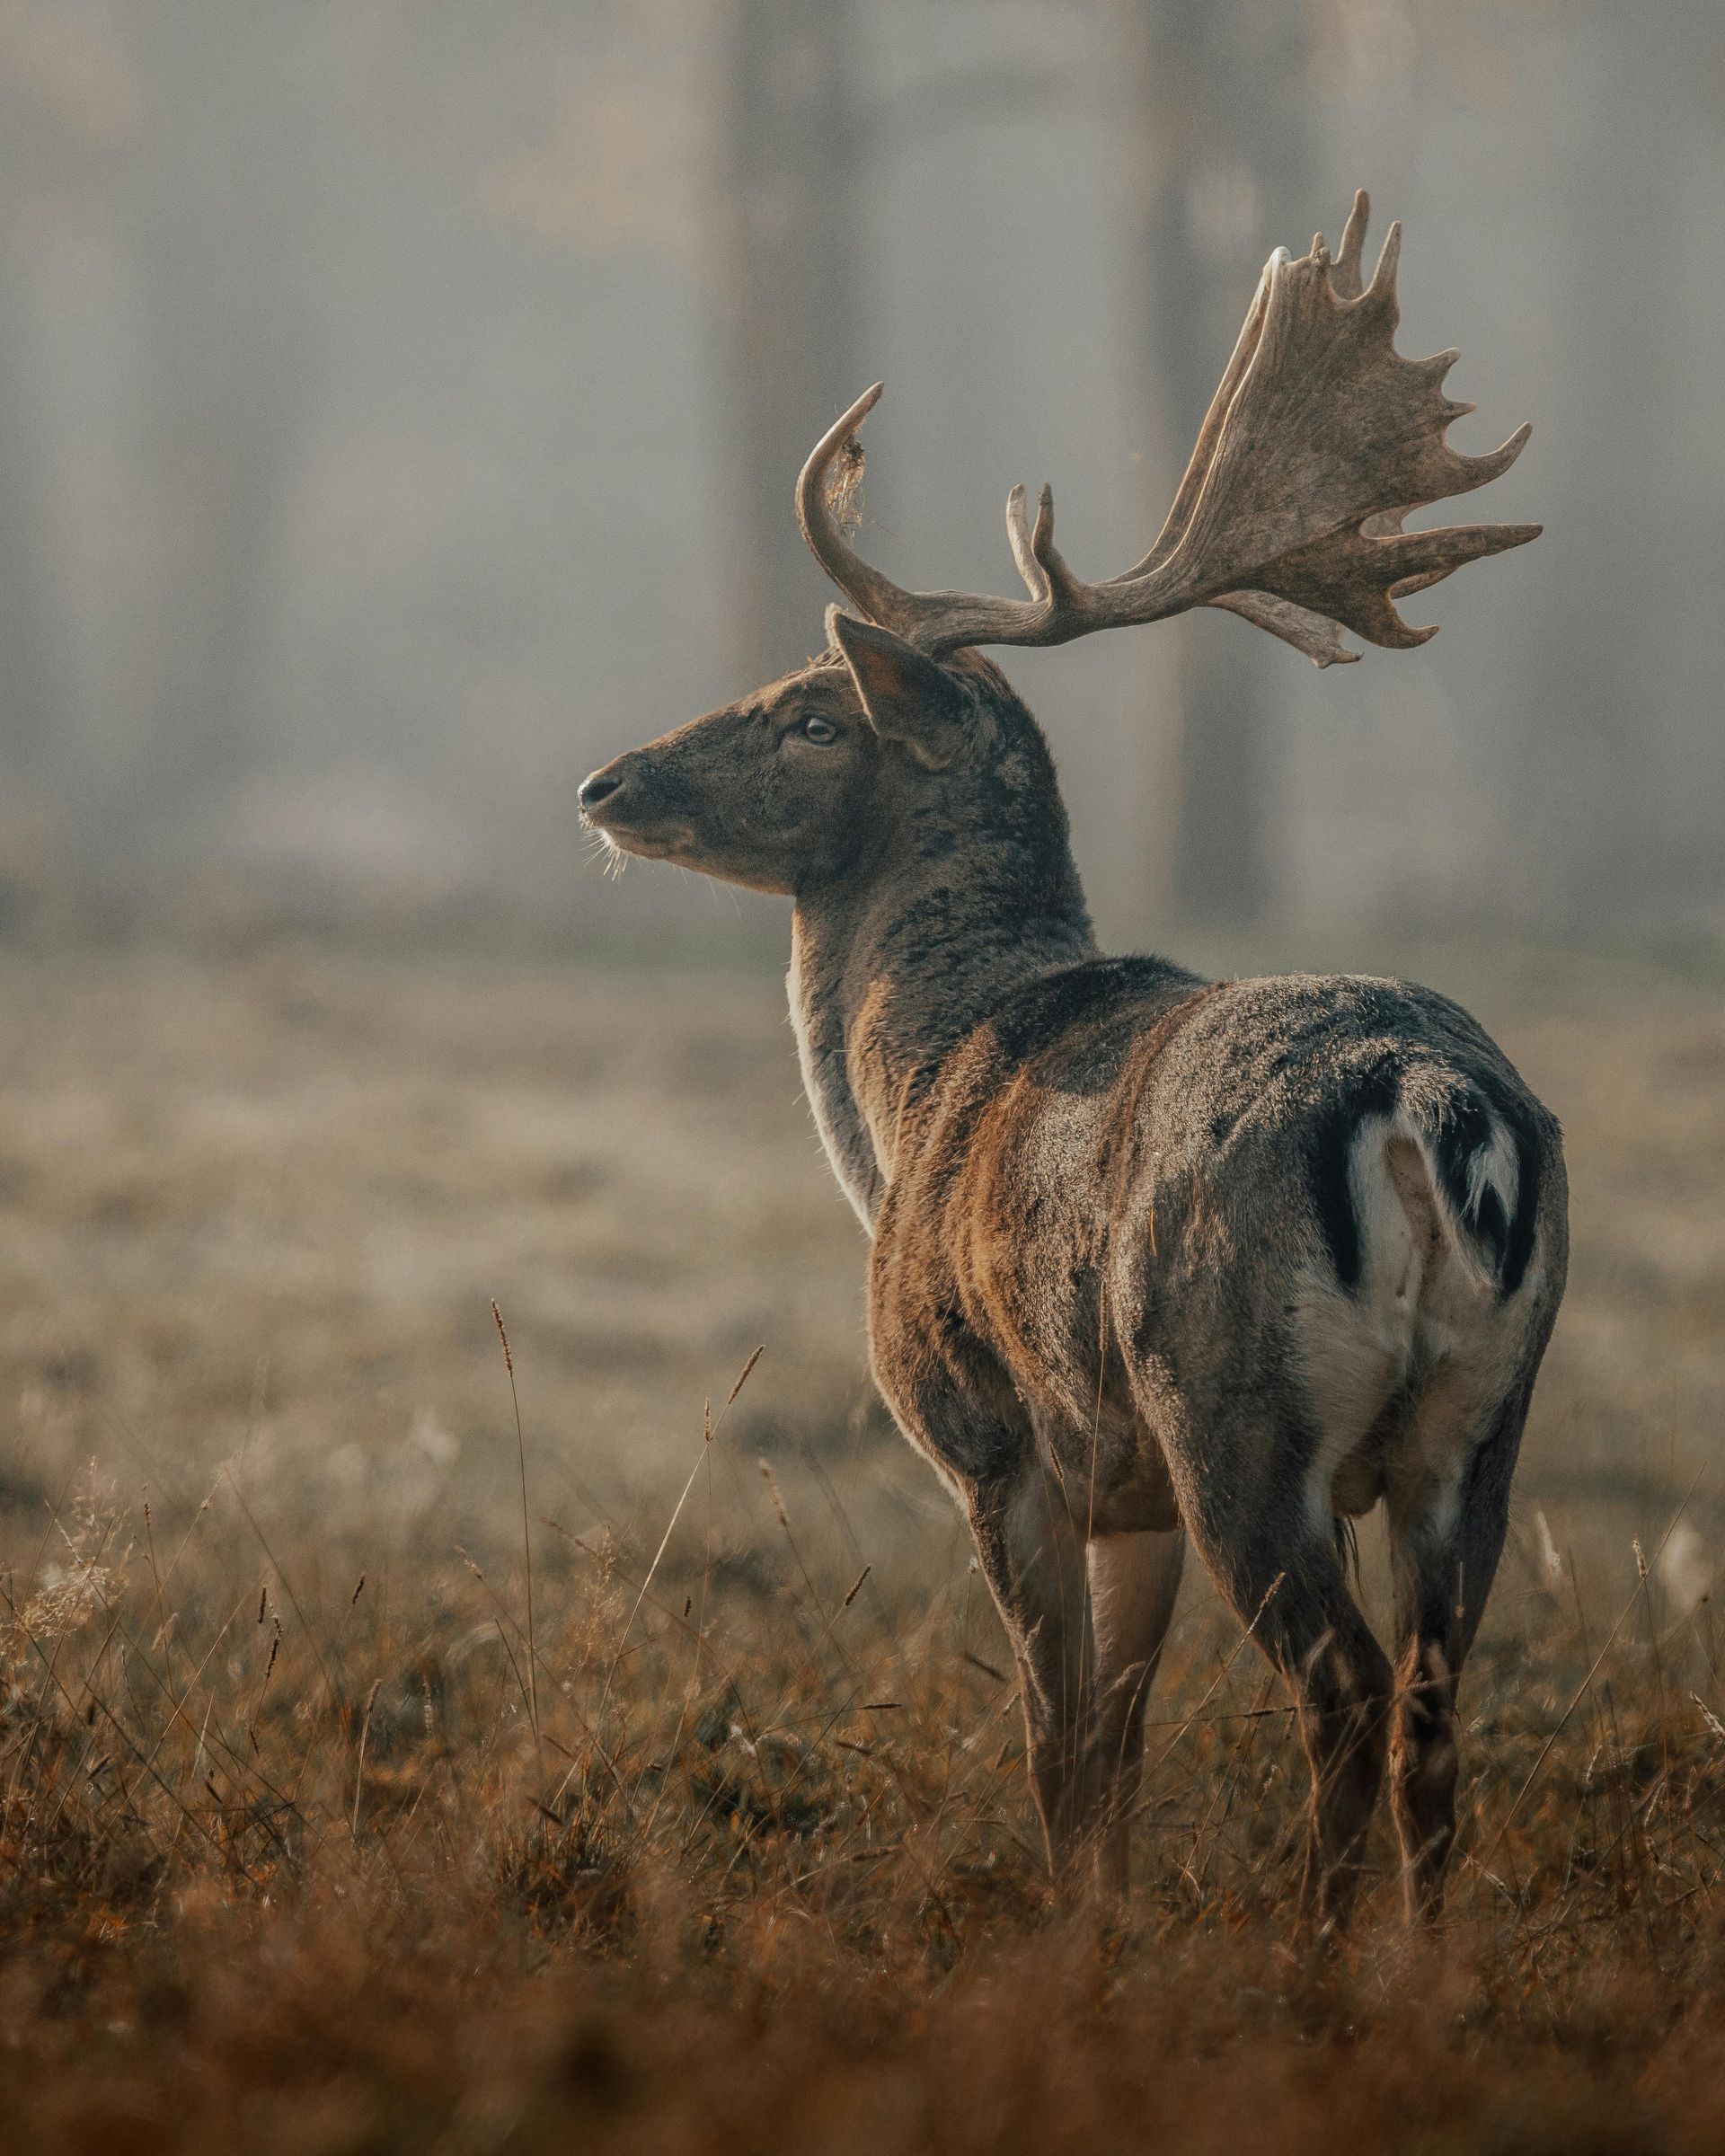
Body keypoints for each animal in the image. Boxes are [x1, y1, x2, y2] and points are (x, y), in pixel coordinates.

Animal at [578, 194, 1567, 1931]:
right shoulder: (1129, 1493)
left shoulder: (994, 1437)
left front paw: (1065, 1949)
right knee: (1437, 1716)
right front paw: (1100, 1929)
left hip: (1234, 1406)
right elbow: (1116, 1743)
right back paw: (1419, 1972)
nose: (609, 782)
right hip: (1478, 1426)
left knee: (1343, 1689)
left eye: (814, 716)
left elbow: (1053, 1745)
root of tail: (1435, 1104)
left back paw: (1312, 1967)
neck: (915, 1096)